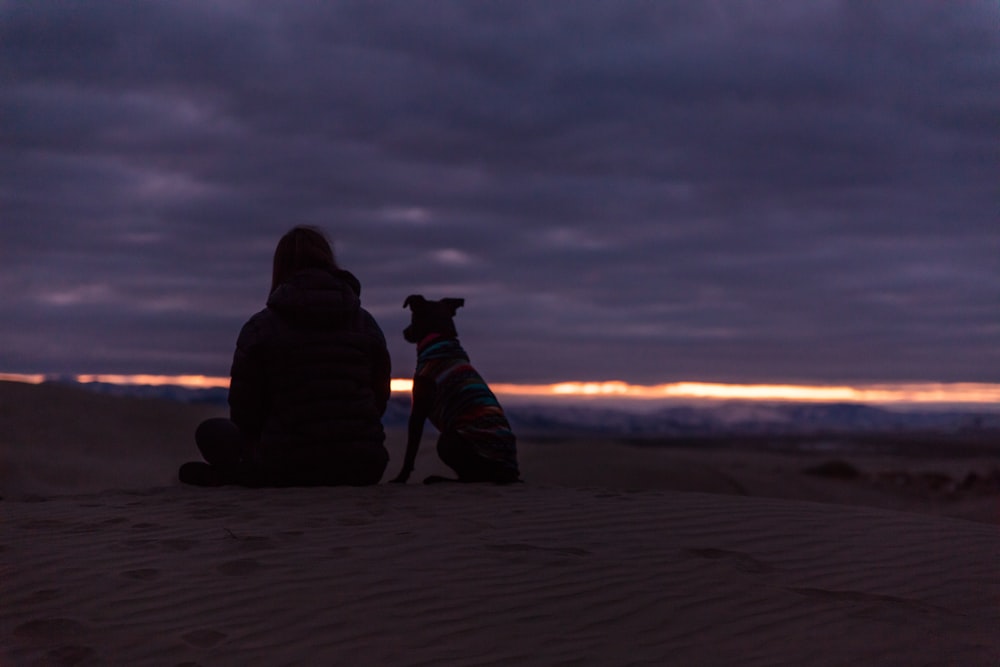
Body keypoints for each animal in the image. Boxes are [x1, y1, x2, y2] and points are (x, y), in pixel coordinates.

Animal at [386, 296, 520, 486]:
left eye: (413, 316)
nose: (404, 332)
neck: (439, 339)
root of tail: (510, 473)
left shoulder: (418, 409)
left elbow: (411, 449)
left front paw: (400, 478)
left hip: (447, 439)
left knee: (470, 478)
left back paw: (438, 478)